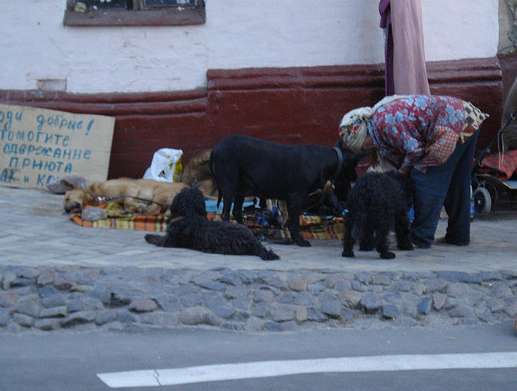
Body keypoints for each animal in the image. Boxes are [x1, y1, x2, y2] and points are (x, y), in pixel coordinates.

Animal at [210, 133, 358, 247]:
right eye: (354, 166)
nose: (356, 177)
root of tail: (216, 148)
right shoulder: (296, 197)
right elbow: (295, 221)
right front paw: (300, 241)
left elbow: (290, 220)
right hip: (229, 186)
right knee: (226, 214)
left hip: (241, 189)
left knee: (236, 212)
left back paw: (250, 234)